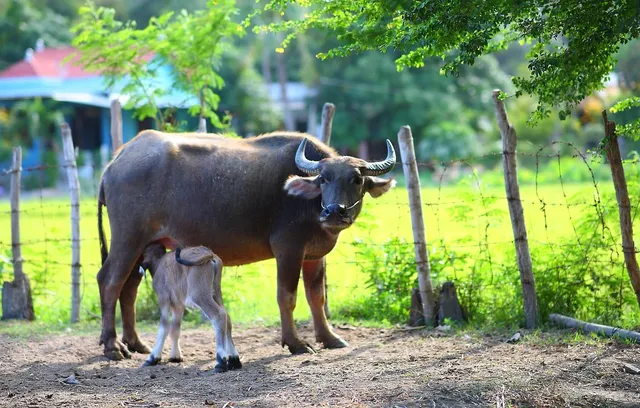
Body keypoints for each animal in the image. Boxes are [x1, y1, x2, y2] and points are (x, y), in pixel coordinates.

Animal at [97, 130, 396, 360]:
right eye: (323, 179)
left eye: (356, 179)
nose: (334, 212)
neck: (307, 202)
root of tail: (116, 161)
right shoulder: (288, 249)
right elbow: (287, 297)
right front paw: (295, 343)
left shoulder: (314, 254)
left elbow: (316, 296)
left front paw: (329, 337)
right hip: (127, 239)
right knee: (109, 281)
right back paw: (113, 346)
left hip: (144, 245)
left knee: (129, 288)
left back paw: (135, 343)